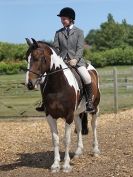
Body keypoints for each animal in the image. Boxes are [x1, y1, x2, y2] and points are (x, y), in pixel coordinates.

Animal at [25, 38, 100, 172]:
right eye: (26, 58)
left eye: (38, 58)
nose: (29, 84)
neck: (58, 86)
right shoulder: (50, 116)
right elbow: (55, 139)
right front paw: (55, 165)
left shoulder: (68, 115)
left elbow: (67, 139)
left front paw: (65, 165)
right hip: (77, 112)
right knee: (79, 127)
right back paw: (78, 152)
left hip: (94, 109)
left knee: (94, 125)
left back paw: (95, 150)